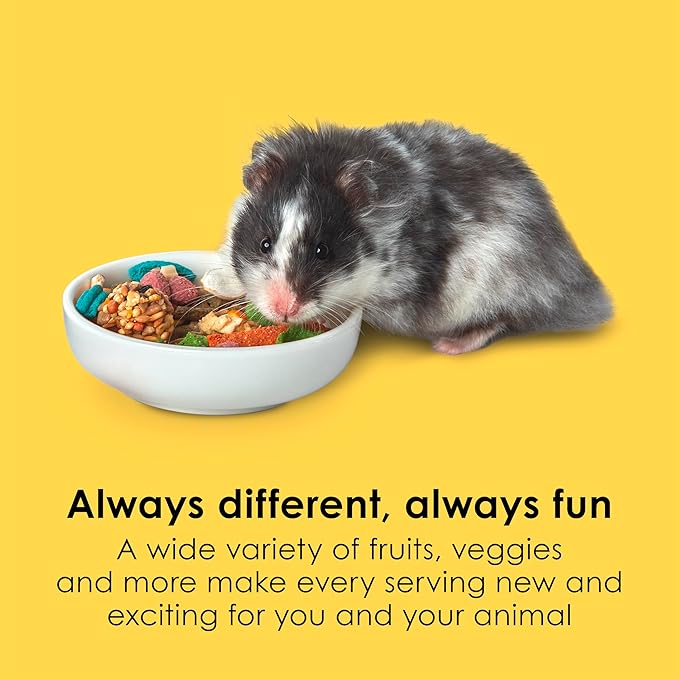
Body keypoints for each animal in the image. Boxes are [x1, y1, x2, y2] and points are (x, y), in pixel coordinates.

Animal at [202, 121, 612, 354]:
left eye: (323, 251)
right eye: (264, 243)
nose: (283, 310)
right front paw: (214, 280)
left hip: (500, 280)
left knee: (504, 320)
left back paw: (449, 346)